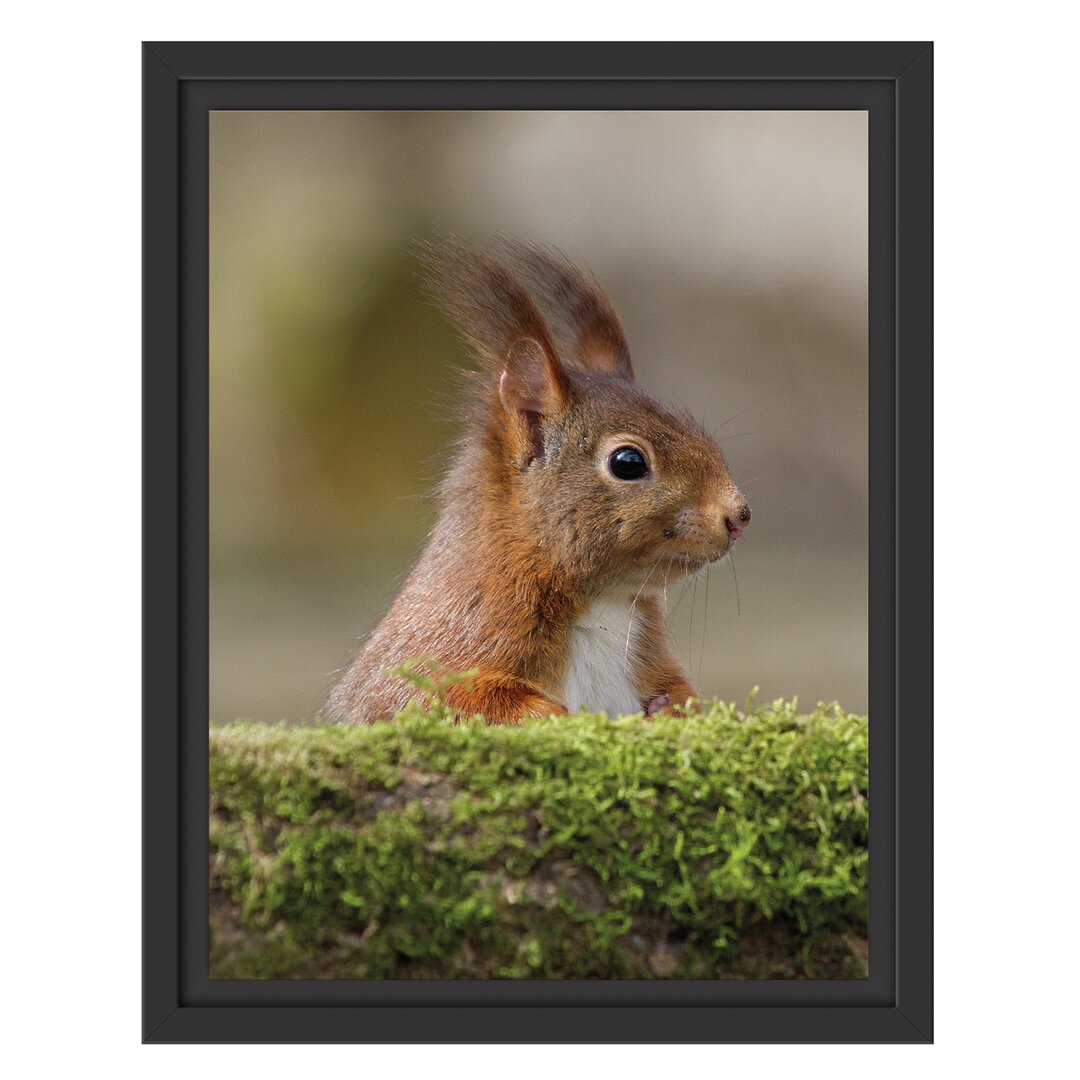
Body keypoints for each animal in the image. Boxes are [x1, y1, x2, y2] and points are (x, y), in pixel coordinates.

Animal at [326, 240, 751, 721]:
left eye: (697, 431)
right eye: (627, 462)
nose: (739, 515)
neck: (604, 603)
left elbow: (678, 689)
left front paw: (673, 707)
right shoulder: (445, 648)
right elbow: (451, 699)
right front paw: (552, 715)